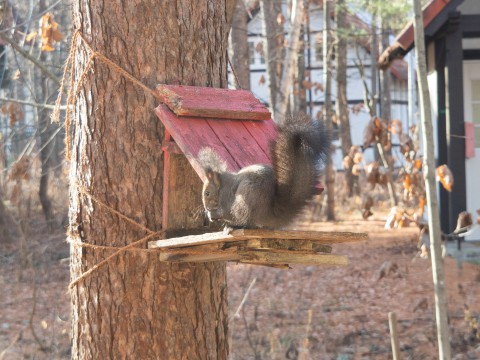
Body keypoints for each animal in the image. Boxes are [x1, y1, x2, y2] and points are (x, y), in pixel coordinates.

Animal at [198, 114, 330, 229]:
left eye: (207, 193)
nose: (206, 208)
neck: (222, 187)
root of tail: (270, 214)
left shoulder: (227, 198)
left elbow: (225, 212)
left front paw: (212, 215)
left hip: (244, 201)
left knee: (245, 221)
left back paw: (234, 225)